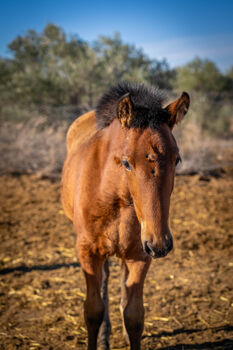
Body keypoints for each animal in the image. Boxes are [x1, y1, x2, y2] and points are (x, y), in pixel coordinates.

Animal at [61, 82, 189, 350]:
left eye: (177, 160)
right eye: (127, 162)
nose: (160, 244)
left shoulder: (139, 253)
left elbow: (134, 316)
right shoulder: (87, 251)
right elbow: (93, 310)